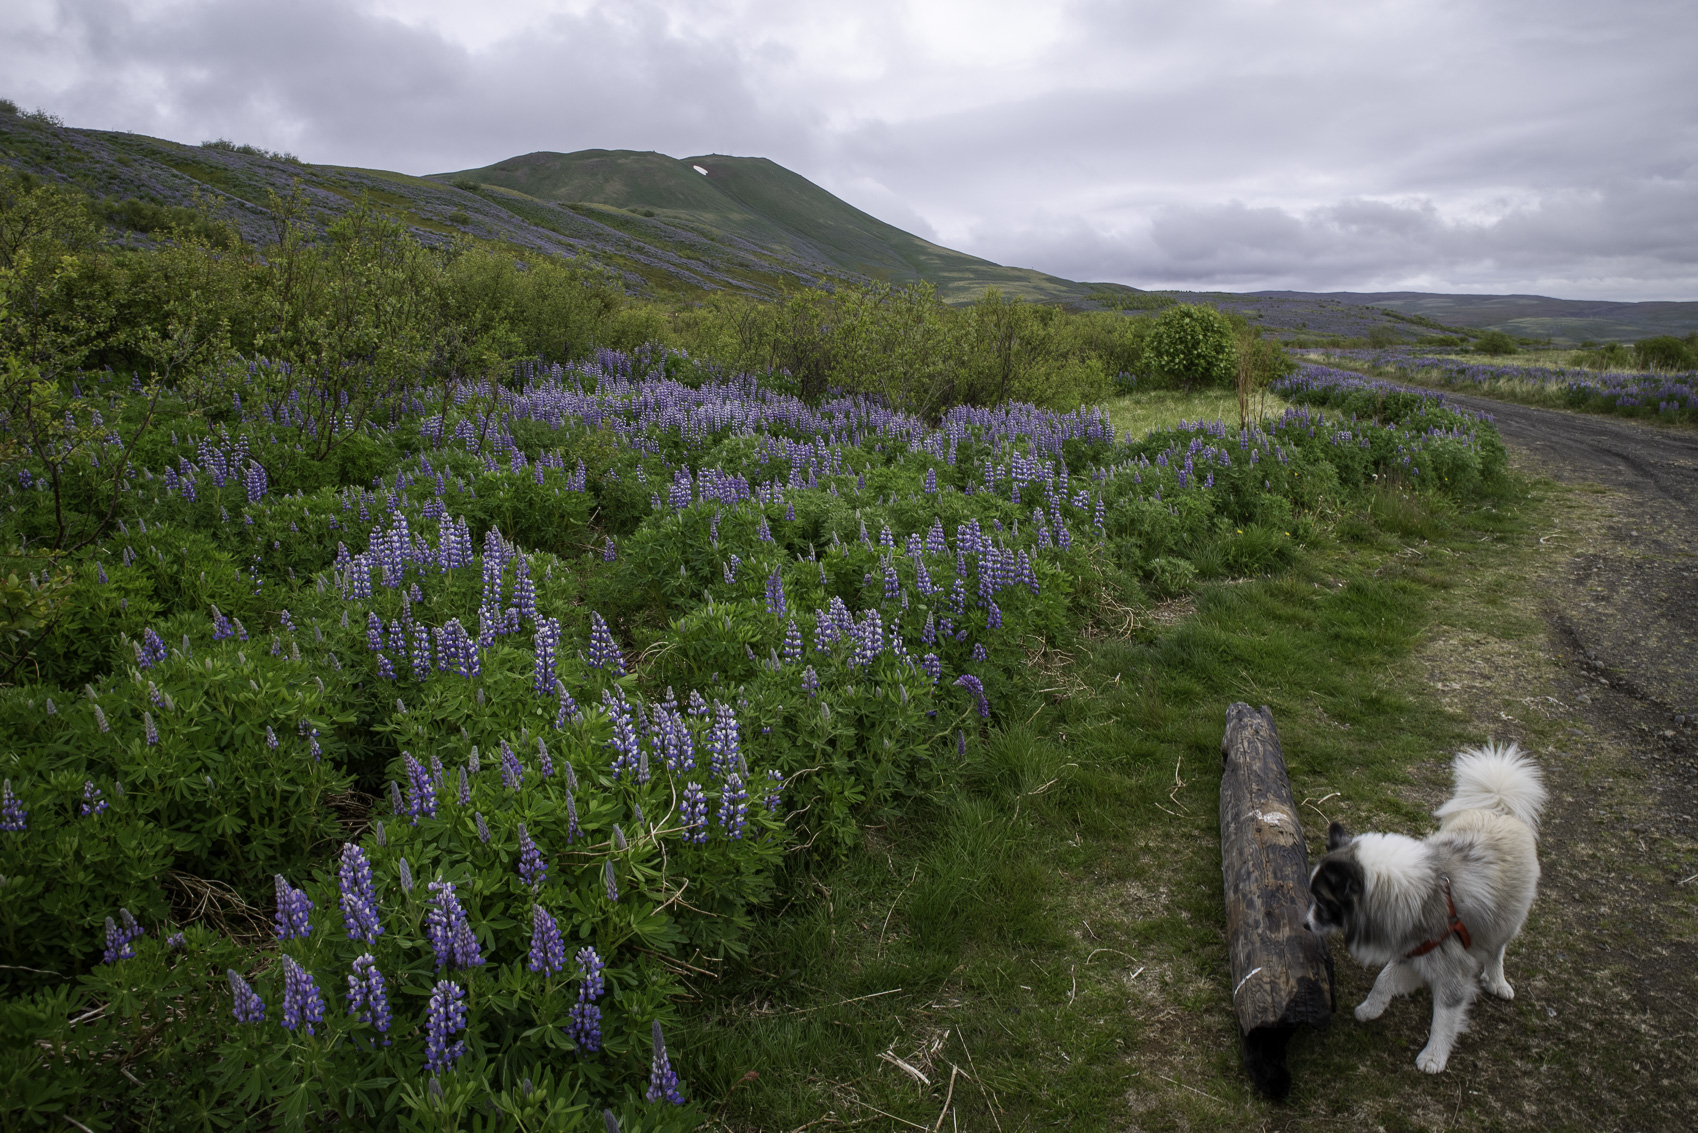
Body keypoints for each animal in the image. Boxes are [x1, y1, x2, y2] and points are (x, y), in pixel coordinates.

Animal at [1304, 740, 1548, 1080]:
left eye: (1323, 903)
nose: (1304, 925)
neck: (1407, 892)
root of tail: (1497, 808)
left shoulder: (1452, 970)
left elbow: (1443, 1019)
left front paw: (1434, 1057)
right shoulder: (1411, 949)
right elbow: (1384, 979)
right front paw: (1370, 1009)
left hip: (1505, 921)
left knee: (1497, 950)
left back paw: (1497, 981)